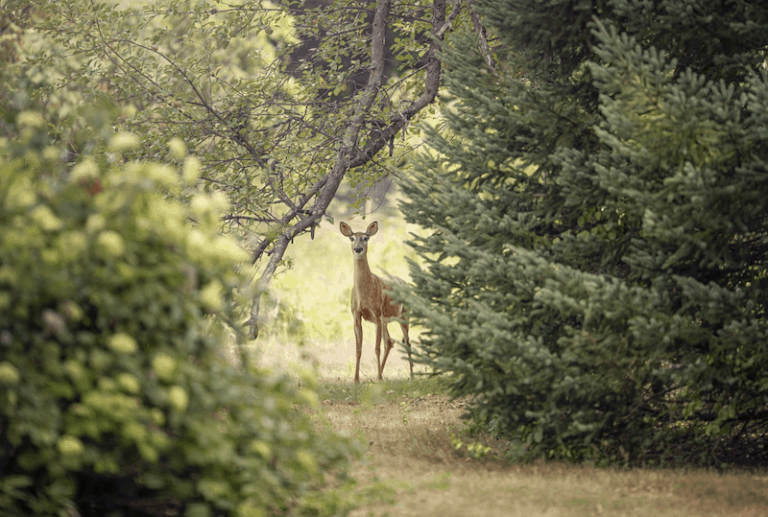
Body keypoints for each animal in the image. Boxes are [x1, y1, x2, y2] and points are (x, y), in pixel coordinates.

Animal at [339, 221, 413, 384]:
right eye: (351, 238)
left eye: (366, 238)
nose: (358, 249)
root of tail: (406, 283)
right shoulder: (356, 315)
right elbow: (358, 348)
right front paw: (356, 380)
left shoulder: (377, 313)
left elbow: (376, 348)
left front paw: (378, 378)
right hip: (386, 320)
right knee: (390, 341)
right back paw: (381, 374)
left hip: (404, 315)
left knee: (407, 342)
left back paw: (411, 375)